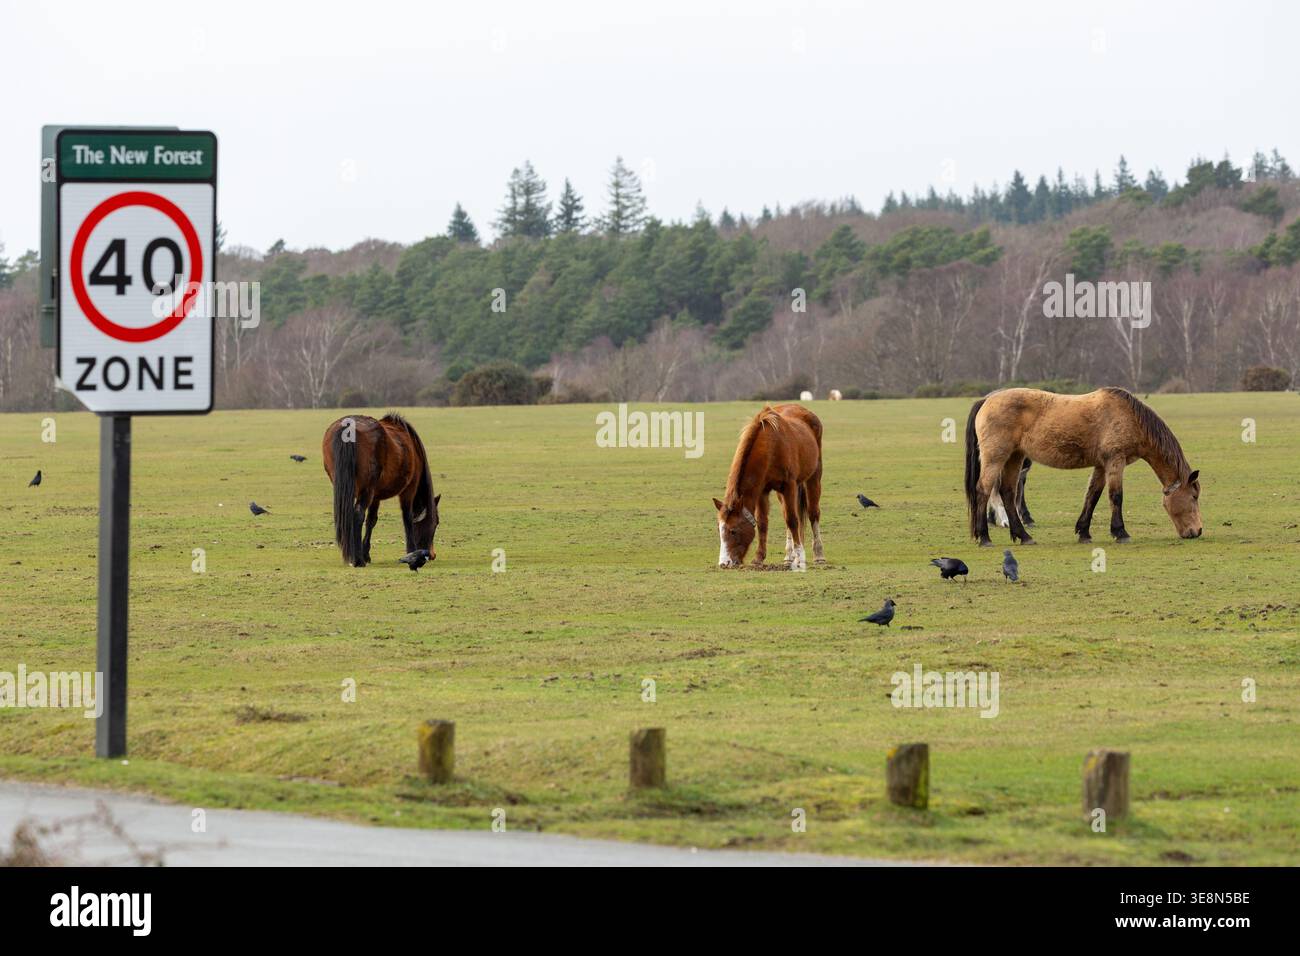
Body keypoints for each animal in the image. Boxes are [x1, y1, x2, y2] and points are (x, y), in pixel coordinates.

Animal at [322, 413, 440, 567]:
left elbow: (371, 521)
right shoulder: (409, 489)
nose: (432, 555)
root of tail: (347, 426)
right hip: (366, 490)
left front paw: (366, 553)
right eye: (436, 523)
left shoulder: (376, 496)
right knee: (358, 514)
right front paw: (411, 551)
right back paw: (357, 560)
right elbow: (407, 518)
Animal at [713, 404, 824, 570]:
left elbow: (793, 520)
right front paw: (759, 558)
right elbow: (763, 522)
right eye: (719, 529)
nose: (724, 563)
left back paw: (818, 555)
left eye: (733, 531)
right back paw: (788, 556)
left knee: (812, 513)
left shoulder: (789, 486)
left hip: (813, 476)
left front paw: (800, 556)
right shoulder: (762, 490)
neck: (771, 446)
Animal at [965, 387, 1201, 546]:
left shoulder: (1101, 465)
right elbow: (1116, 496)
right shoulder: (1115, 461)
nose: (1197, 531)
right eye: (1194, 497)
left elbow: (1092, 495)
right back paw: (984, 537)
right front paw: (1120, 532)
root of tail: (986, 400)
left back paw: (1023, 535)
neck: (1130, 418)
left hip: (1015, 457)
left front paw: (1084, 532)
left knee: (1007, 492)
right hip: (996, 458)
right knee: (984, 491)